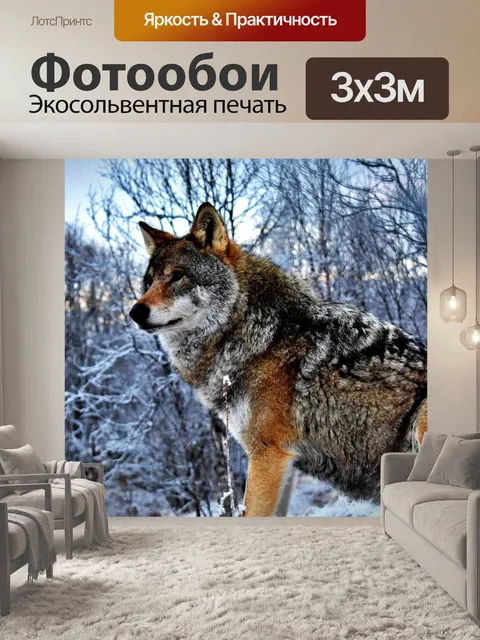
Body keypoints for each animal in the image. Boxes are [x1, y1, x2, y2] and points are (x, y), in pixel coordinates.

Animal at [129, 202, 427, 517]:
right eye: (149, 281)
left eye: (178, 276)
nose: (135, 312)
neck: (254, 332)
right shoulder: (286, 463)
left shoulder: (267, 454)